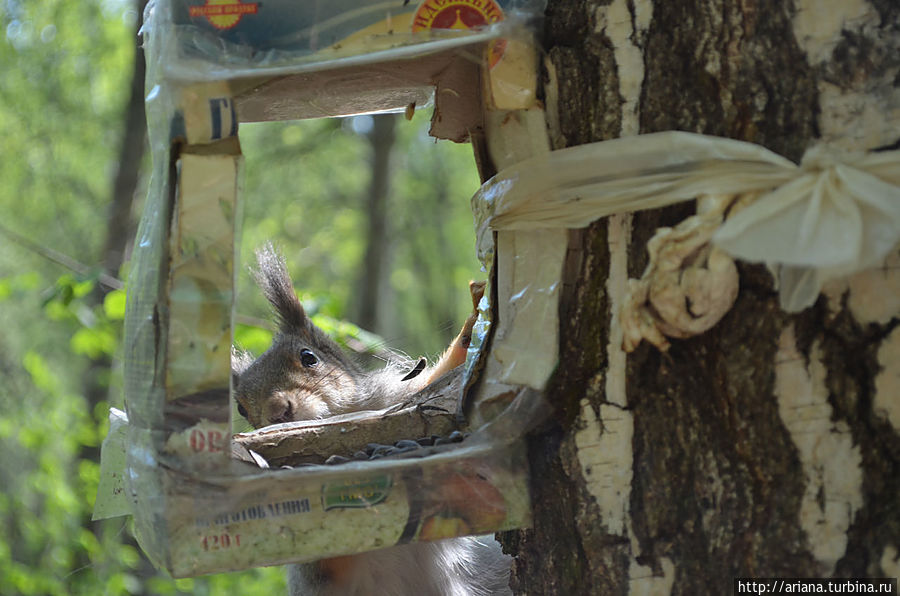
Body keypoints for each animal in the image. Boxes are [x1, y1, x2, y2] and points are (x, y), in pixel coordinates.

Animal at [232, 244, 510, 592]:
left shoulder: (396, 400)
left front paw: (474, 319)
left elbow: (439, 380)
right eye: (241, 407)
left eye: (309, 357)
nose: (277, 410)